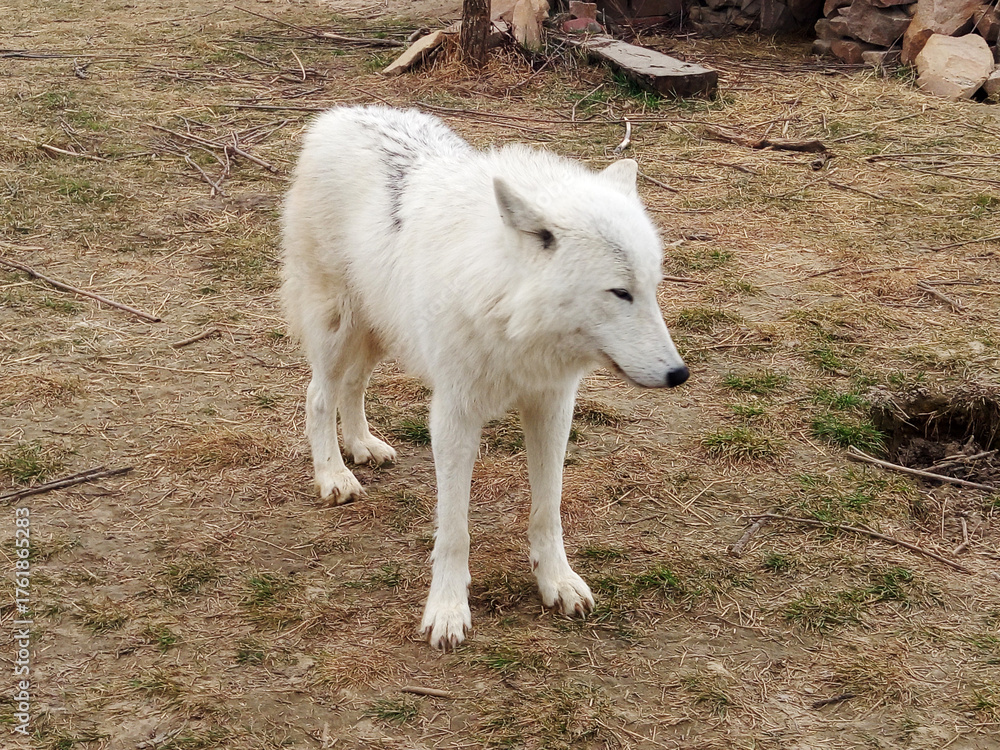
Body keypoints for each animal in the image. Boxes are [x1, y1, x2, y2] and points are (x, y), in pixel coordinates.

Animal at [281, 105, 688, 650]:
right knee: (317, 396)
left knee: (353, 385)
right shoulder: (454, 417)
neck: (509, 313)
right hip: (337, 328)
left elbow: (548, 509)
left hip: (381, 327)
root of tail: (340, 114)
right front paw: (448, 610)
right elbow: (455, 529)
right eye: (620, 293)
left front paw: (556, 581)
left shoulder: (553, 406)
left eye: (651, 287)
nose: (679, 373)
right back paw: (334, 475)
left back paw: (364, 445)